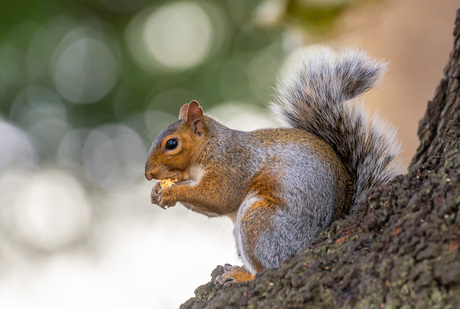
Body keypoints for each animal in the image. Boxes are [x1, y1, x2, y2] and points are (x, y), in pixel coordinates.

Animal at [145, 46, 402, 284]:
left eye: (171, 143)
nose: (148, 174)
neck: (210, 147)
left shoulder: (232, 165)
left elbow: (219, 198)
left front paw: (171, 192)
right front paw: (157, 190)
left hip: (260, 222)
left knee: (266, 269)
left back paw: (242, 276)